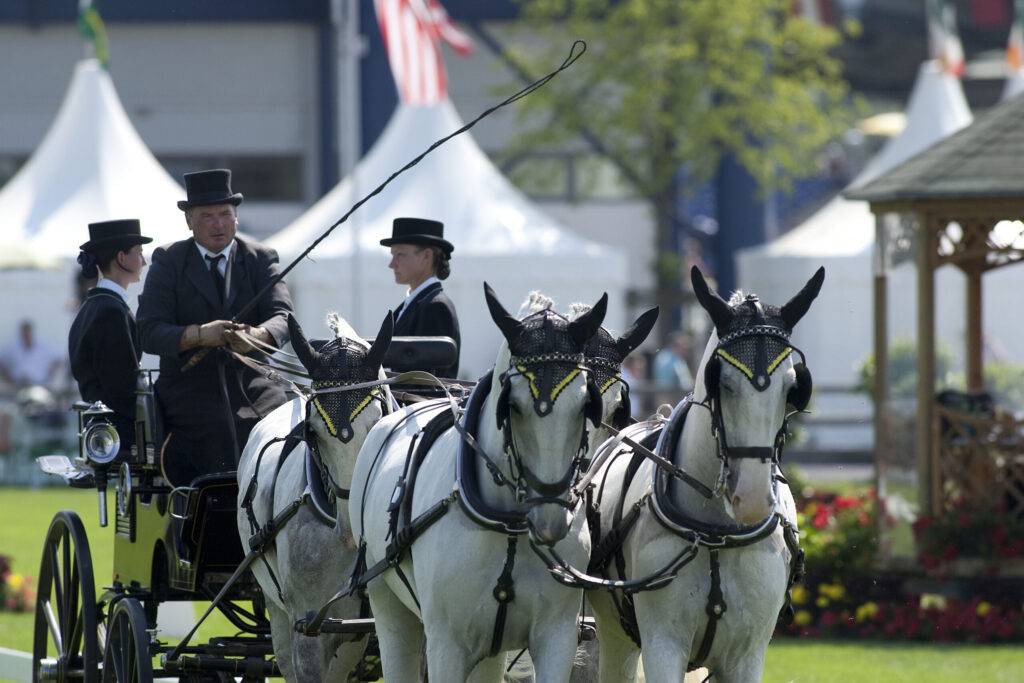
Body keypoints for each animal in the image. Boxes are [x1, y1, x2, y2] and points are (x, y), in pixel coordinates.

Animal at [349, 283, 608, 682]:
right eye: (512, 406)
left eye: (584, 405)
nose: (550, 519)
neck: (511, 525)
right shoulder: (446, 645)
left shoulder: (557, 636)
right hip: (388, 604)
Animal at [586, 266, 823, 683]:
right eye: (721, 380)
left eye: (792, 386)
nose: (752, 497)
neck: (716, 534)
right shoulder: (663, 645)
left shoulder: (747, 655)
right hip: (615, 636)